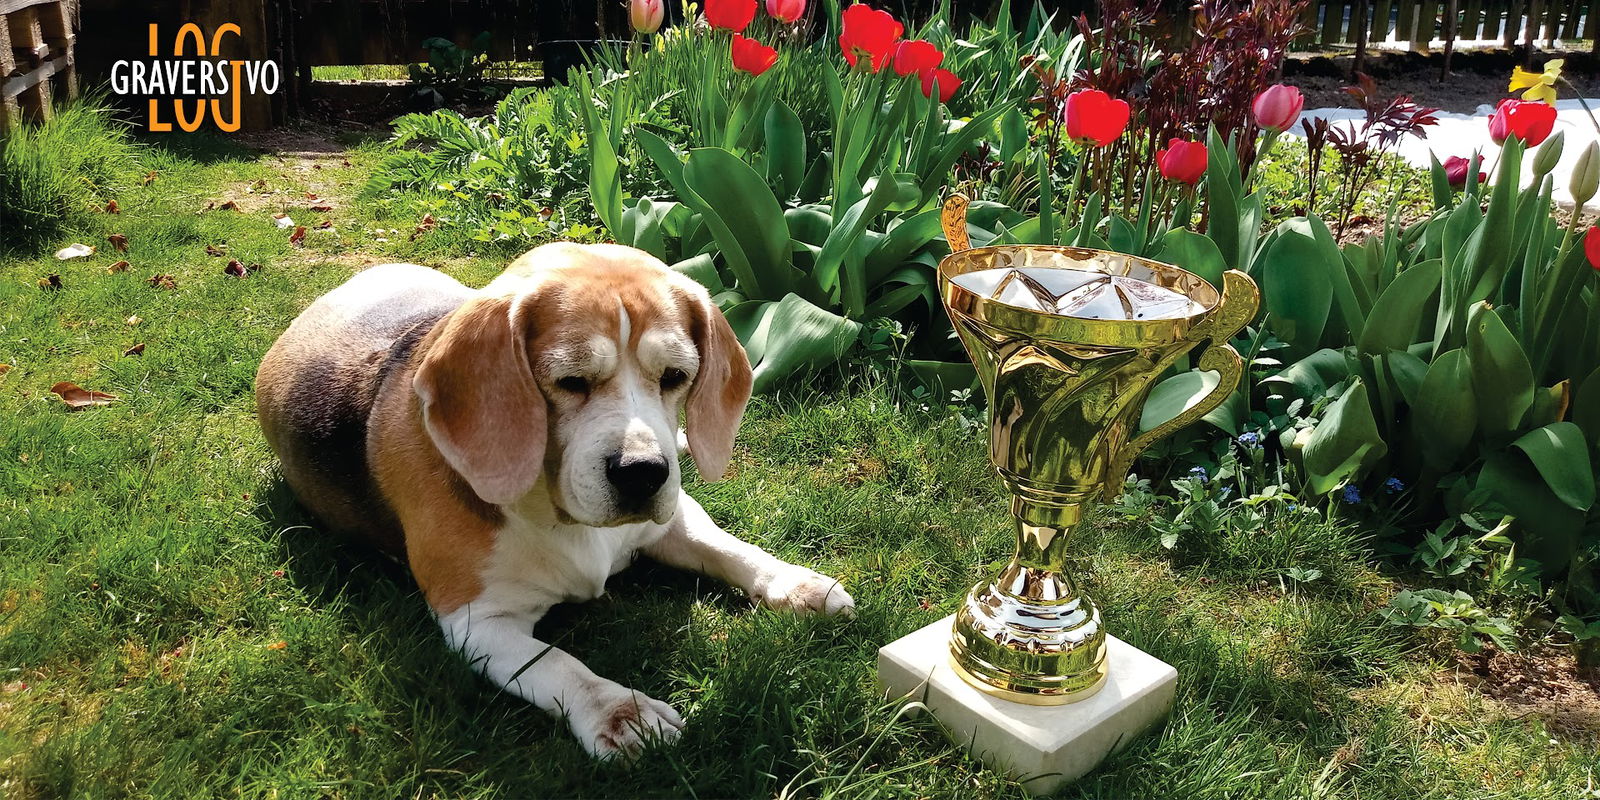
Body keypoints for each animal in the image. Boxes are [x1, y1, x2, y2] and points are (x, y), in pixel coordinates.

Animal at [252, 241, 851, 755]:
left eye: (676, 376)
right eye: (570, 381)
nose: (644, 474)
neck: (567, 518)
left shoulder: (672, 519)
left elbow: (730, 549)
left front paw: (798, 583)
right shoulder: (476, 620)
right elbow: (558, 663)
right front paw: (622, 713)